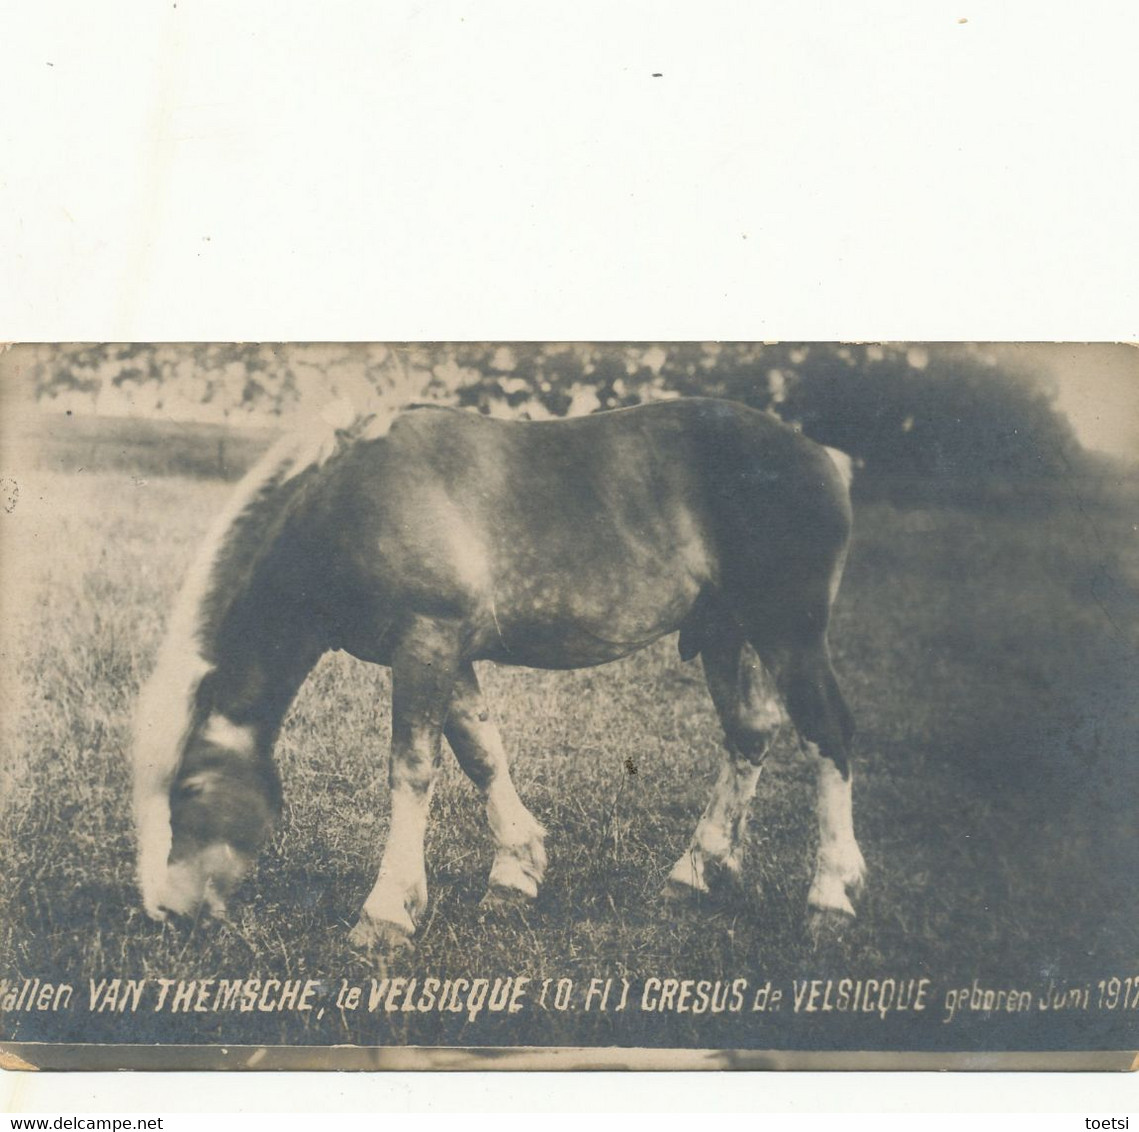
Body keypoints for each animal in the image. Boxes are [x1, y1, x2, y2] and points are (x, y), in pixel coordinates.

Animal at [130, 394, 861, 942]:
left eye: (189, 790)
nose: (165, 911)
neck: (353, 502)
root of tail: (820, 455)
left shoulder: (426, 641)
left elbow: (412, 769)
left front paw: (387, 912)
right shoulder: (446, 652)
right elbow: (481, 754)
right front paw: (515, 871)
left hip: (787, 633)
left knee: (826, 732)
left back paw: (829, 894)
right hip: (727, 634)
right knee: (748, 736)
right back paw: (697, 872)